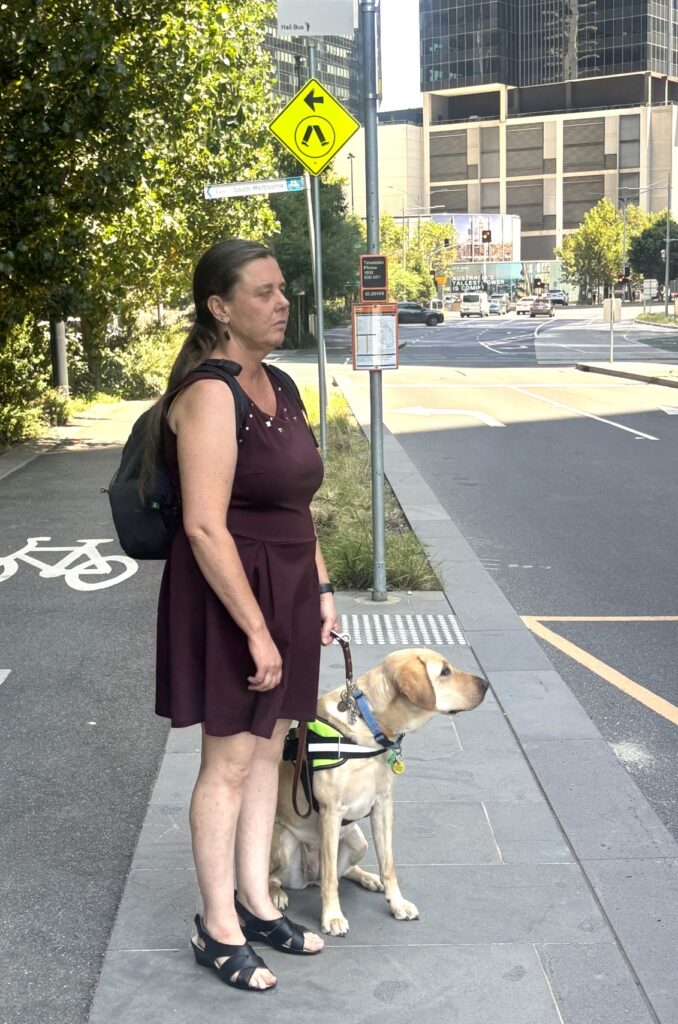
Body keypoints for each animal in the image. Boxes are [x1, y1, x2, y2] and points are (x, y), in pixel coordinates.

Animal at [270, 651, 489, 933]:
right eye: (444, 672)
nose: (486, 684)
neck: (371, 725)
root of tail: (308, 877)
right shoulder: (331, 812)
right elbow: (330, 879)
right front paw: (332, 916)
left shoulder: (383, 805)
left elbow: (388, 864)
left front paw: (397, 903)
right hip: (286, 843)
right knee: (282, 876)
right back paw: (275, 894)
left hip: (357, 840)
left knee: (339, 871)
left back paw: (368, 878)